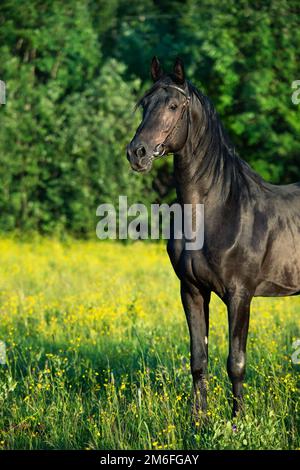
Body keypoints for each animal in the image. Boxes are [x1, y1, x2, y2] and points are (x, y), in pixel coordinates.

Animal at [126, 56, 300, 418]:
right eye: (145, 104)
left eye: (174, 105)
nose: (137, 152)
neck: (218, 211)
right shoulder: (192, 291)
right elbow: (198, 359)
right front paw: (199, 421)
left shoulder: (240, 295)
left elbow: (236, 363)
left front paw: (238, 422)